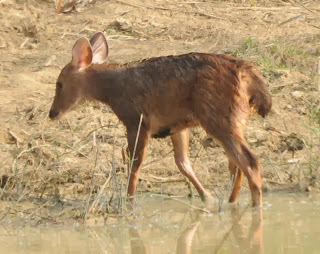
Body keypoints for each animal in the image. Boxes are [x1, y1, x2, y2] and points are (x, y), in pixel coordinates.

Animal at [48, 31, 272, 207]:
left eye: (59, 83)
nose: (52, 113)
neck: (112, 91)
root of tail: (247, 72)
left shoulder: (137, 120)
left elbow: (134, 164)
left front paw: (129, 203)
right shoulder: (177, 126)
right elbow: (183, 163)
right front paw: (207, 197)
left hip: (219, 117)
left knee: (249, 162)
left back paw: (255, 207)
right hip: (229, 119)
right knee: (236, 164)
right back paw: (232, 203)